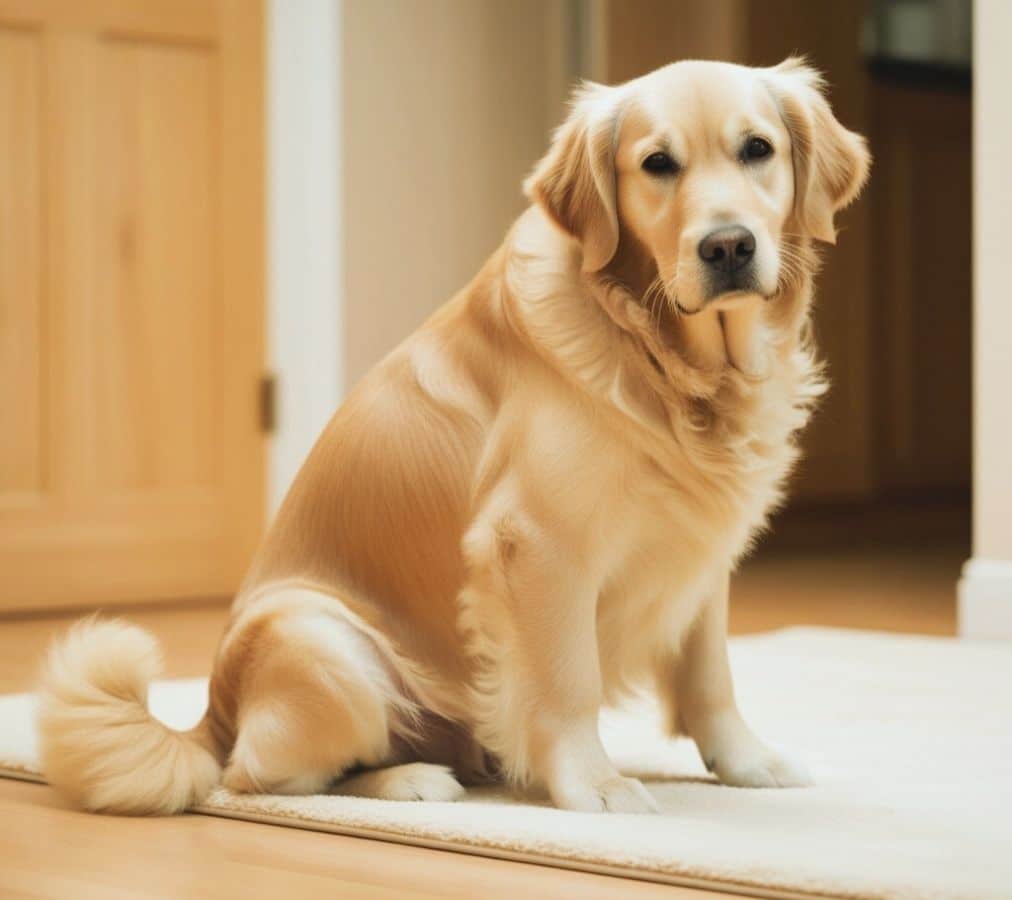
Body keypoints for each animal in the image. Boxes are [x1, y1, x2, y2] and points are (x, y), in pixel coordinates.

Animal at [35, 57, 866, 813]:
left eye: (757, 149)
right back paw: (410, 780)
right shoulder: (534, 543)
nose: (728, 246)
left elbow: (710, 676)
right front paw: (594, 785)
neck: (659, 353)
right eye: (658, 163)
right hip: (324, 641)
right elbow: (568, 682)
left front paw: (748, 762)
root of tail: (209, 713)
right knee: (258, 777)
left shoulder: (700, 545)